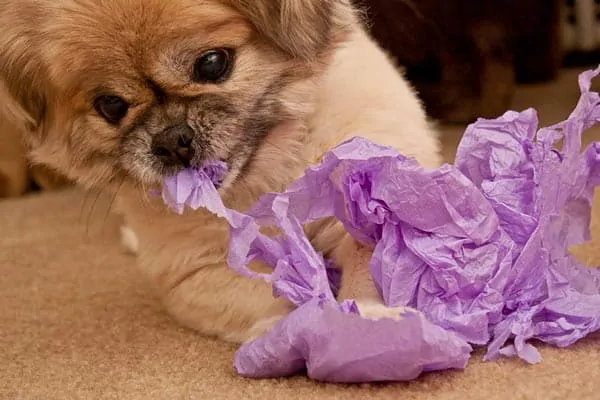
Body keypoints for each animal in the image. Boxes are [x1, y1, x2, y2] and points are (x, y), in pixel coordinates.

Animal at [0, 0, 440, 344]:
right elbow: (271, 294)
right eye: (111, 106)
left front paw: (372, 317)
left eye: (212, 64)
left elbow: (371, 268)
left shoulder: (364, 216)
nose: (172, 138)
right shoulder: (198, 270)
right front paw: (299, 324)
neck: (267, 171)